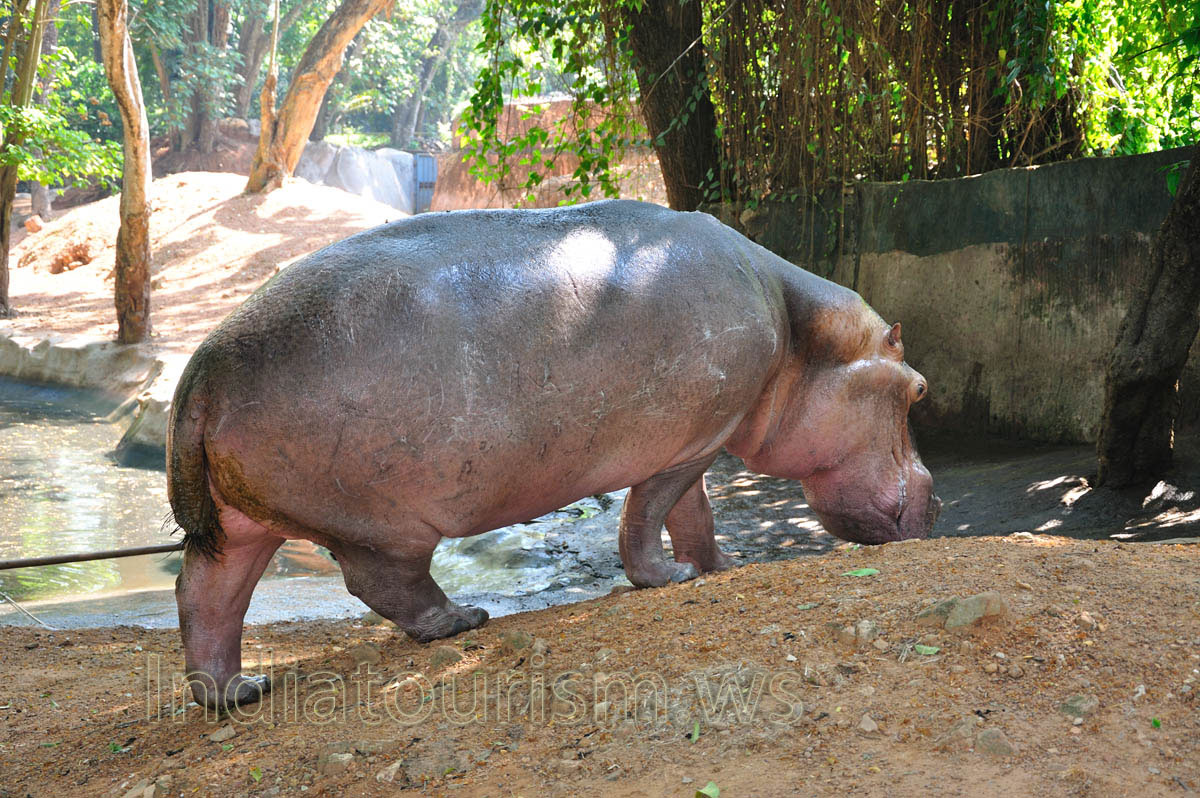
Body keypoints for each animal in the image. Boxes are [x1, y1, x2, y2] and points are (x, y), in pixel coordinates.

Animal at [167, 199, 939, 707]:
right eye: (920, 390)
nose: (936, 505)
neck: (801, 330)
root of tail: (200, 370)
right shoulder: (693, 442)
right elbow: (649, 515)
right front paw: (672, 577)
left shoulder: (701, 435)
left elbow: (695, 514)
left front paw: (721, 567)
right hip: (380, 524)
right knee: (381, 582)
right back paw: (463, 621)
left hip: (242, 523)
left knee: (205, 594)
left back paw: (238, 691)